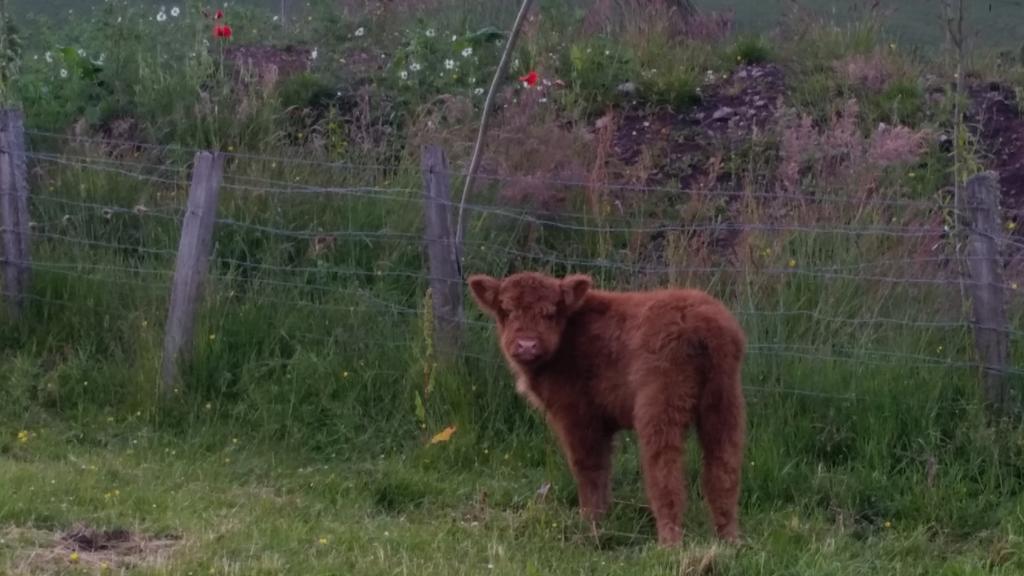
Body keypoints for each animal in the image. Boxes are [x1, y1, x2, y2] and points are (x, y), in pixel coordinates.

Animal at [466, 270, 745, 545]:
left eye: (550, 313)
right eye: (507, 310)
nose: (526, 345)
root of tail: (702, 318)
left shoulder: (578, 416)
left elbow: (589, 468)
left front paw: (590, 524)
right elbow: (603, 469)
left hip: (660, 407)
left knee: (665, 470)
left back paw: (670, 542)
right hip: (724, 405)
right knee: (724, 468)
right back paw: (728, 539)